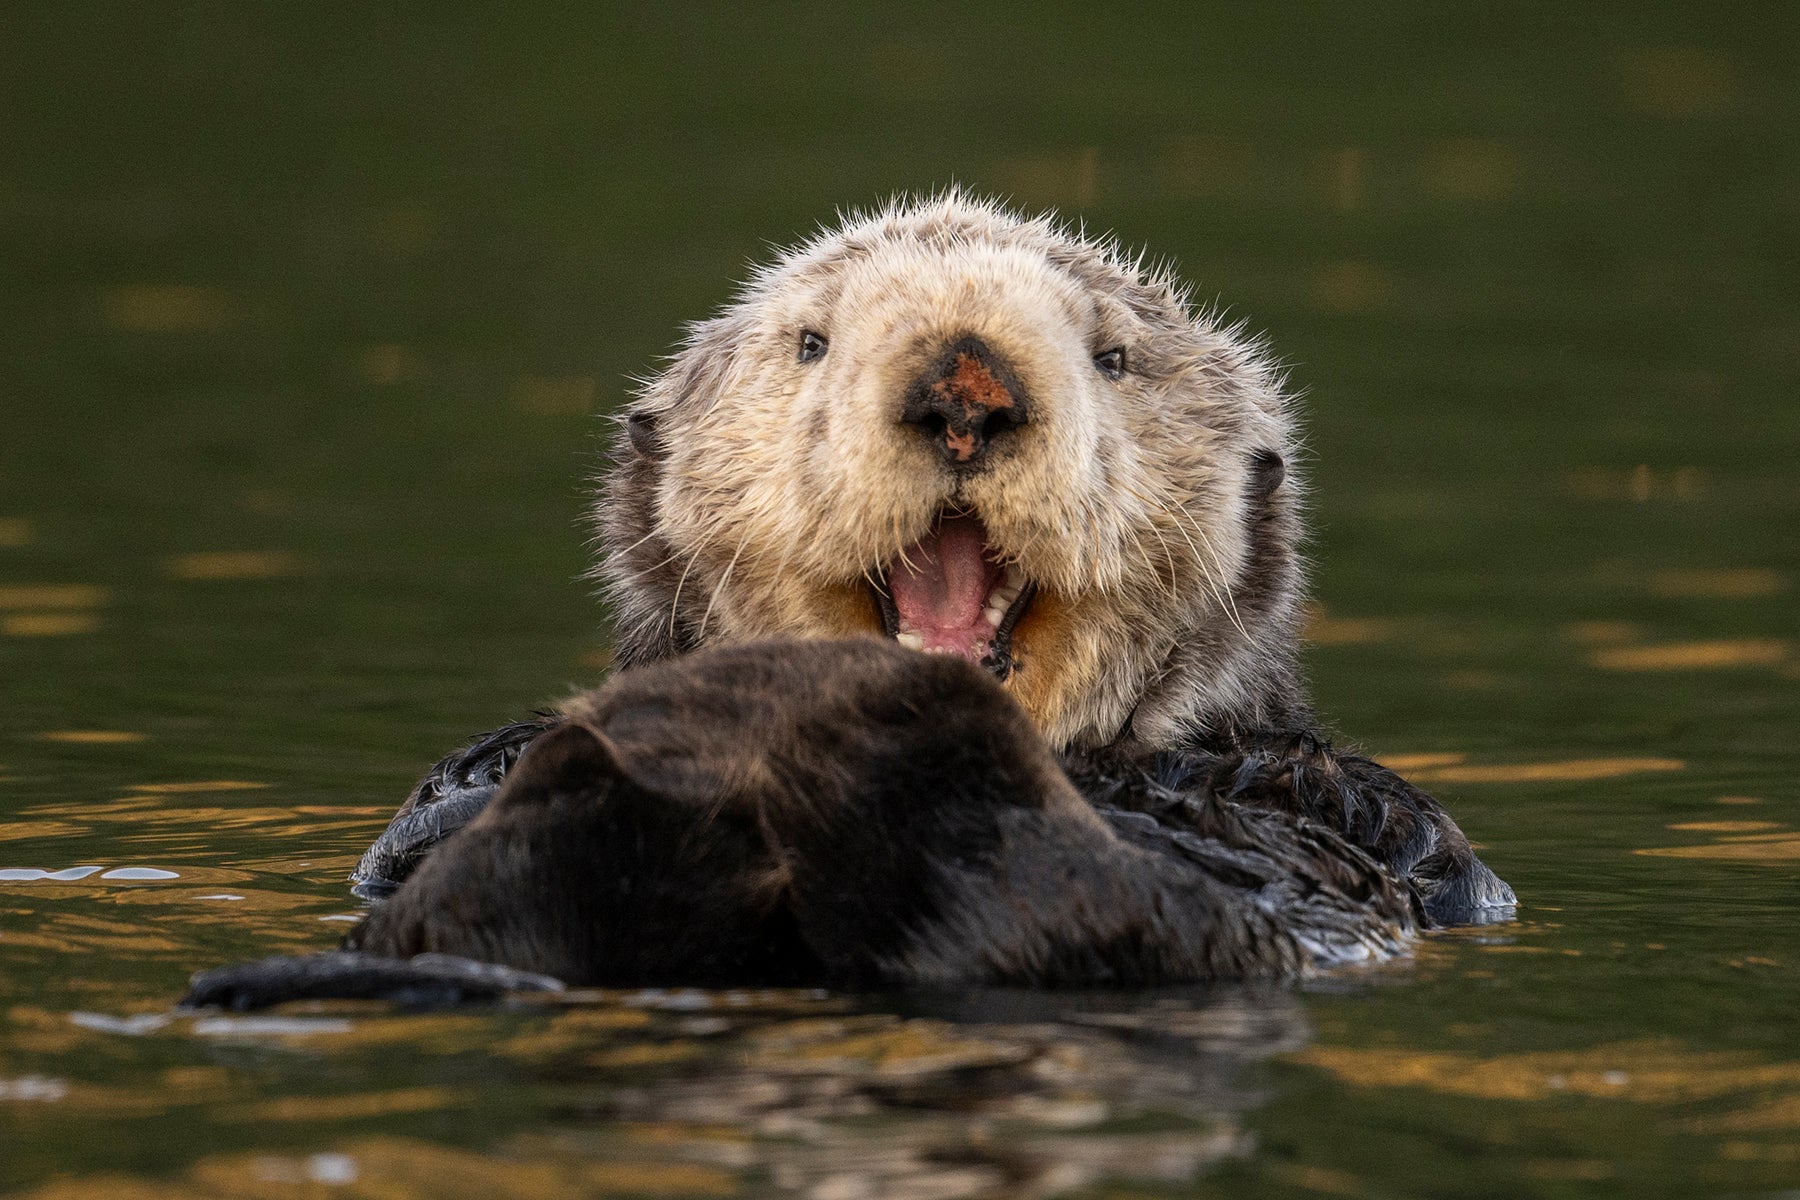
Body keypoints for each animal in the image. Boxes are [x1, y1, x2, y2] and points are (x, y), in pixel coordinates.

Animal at [182, 199, 1512, 1014]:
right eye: (812, 342)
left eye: (1114, 358)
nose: (965, 388)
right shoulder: (428, 819)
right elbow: (435, 810)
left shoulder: (1360, 819)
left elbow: (1334, 807)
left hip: (1123, 922)